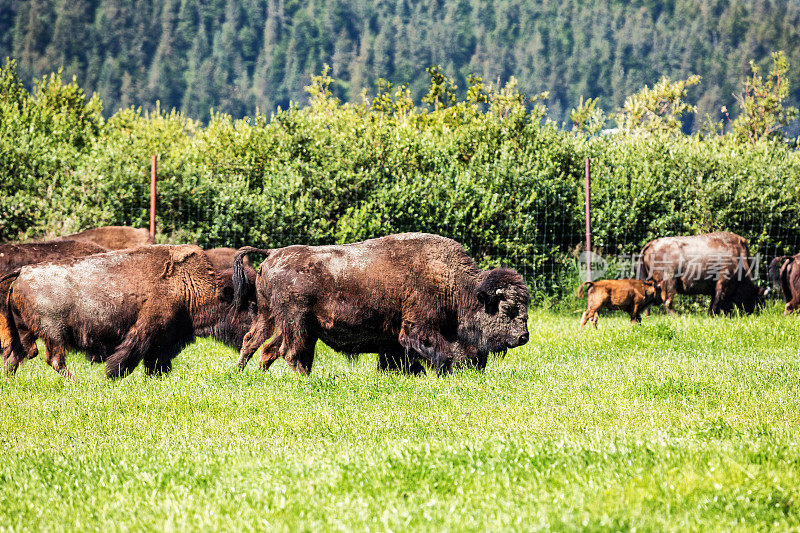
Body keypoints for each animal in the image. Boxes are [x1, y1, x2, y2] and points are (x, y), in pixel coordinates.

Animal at [0, 245, 256, 378]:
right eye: (251, 305)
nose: (252, 336)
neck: (188, 284)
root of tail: (22, 272)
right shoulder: (146, 331)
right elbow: (127, 357)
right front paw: (111, 376)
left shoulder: (165, 341)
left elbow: (157, 362)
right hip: (54, 334)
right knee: (53, 359)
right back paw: (75, 381)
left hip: (25, 331)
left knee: (16, 356)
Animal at [231, 233, 532, 374]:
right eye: (507, 309)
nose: (523, 336)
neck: (453, 283)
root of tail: (272, 253)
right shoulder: (417, 328)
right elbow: (437, 350)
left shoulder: (393, 339)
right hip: (296, 323)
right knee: (290, 352)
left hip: (274, 318)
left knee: (257, 343)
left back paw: (247, 375)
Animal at [636, 231, 764, 314]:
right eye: (756, 298)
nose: (756, 312)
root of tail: (650, 244)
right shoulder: (722, 282)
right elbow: (717, 300)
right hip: (669, 281)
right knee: (667, 301)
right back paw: (677, 316)